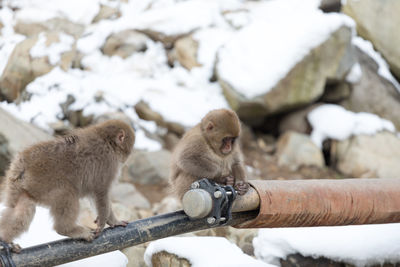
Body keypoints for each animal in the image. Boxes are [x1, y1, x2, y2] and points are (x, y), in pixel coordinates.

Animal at [0, 120, 135, 252]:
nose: (127, 158)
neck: (107, 141)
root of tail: (22, 164)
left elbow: (93, 195)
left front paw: (111, 222)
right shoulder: (108, 164)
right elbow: (101, 193)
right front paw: (106, 222)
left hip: (21, 185)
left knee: (22, 207)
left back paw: (5, 240)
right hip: (44, 180)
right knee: (66, 193)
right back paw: (67, 229)